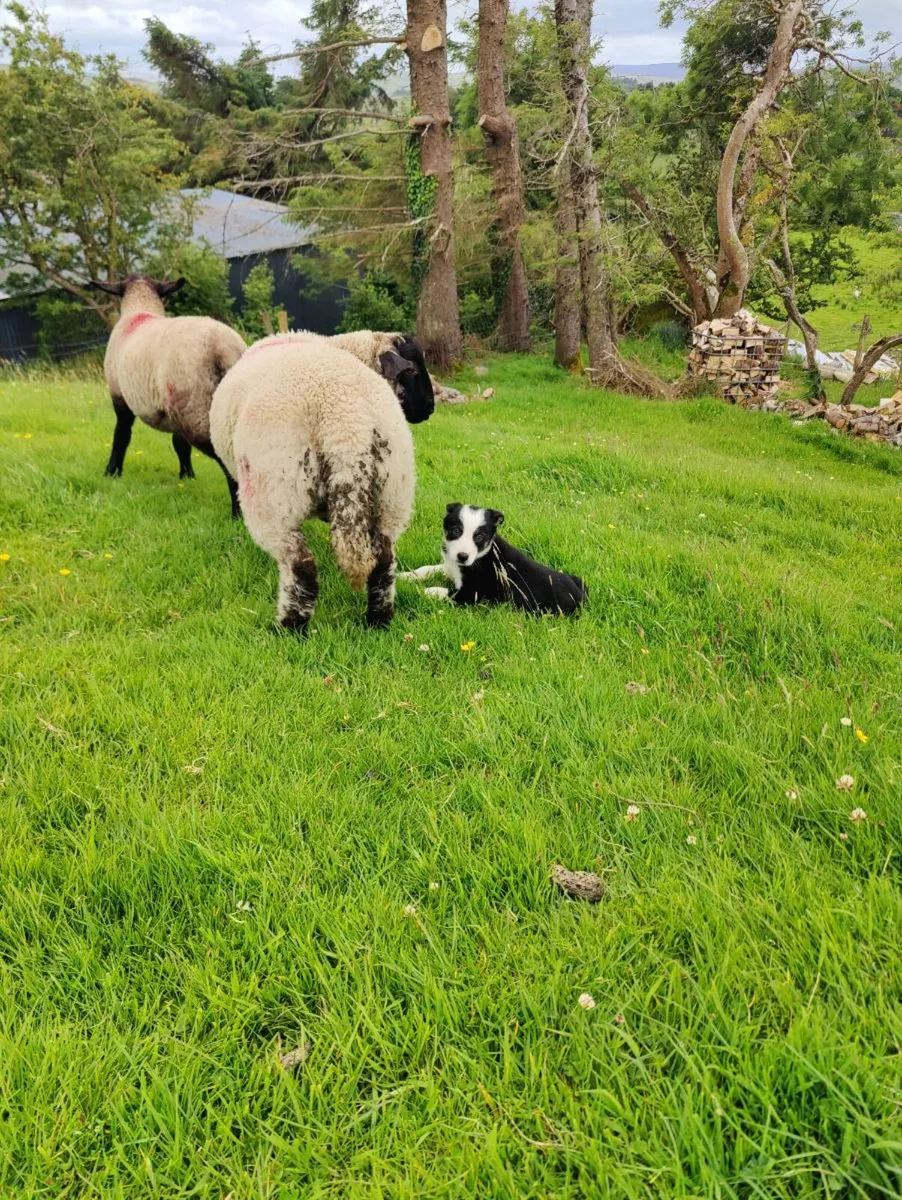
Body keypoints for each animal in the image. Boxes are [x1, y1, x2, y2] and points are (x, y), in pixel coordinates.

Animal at [89, 275, 247, 517]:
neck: (140, 310)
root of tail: (222, 348)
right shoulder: (173, 412)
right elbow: (180, 445)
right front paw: (187, 476)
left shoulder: (119, 396)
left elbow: (121, 436)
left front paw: (112, 471)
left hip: (195, 407)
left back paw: (237, 514)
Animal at [209, 334, 434, 631]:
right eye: (413, 371)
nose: (430, 408)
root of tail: (346, 423)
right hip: (394, 491)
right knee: (384, 560)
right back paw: (378, 620)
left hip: (273, 492)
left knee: (300, 565)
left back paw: (288, 627)